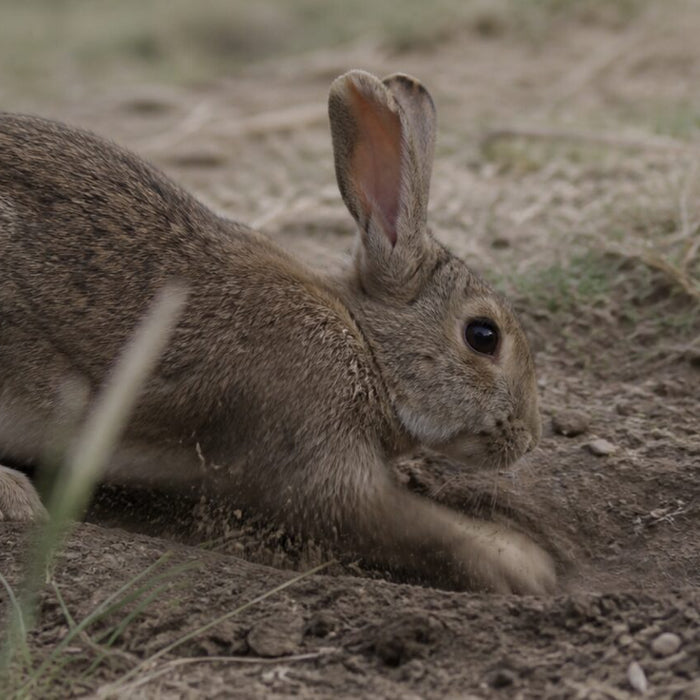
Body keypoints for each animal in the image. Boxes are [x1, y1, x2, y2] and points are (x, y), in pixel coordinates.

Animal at [0, 70, 555, 593]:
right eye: (483, 336)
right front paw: (523, 566)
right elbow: (404, 523)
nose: (529, 438)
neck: (366, 345)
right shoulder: (311, 443)